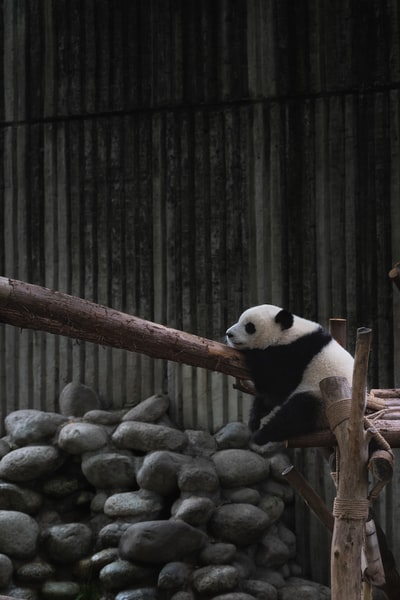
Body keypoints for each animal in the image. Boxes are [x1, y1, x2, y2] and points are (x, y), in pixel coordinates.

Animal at [225, 304, 354, 446]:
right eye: (239, 320)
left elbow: (277, 387)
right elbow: (267, 397)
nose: (229, 334)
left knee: (298, 412)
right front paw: (254, 419)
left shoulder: (297, 354)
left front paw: (253, 353)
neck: (289, 334)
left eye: (249, 327)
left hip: (320, 398)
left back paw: (262, 436)